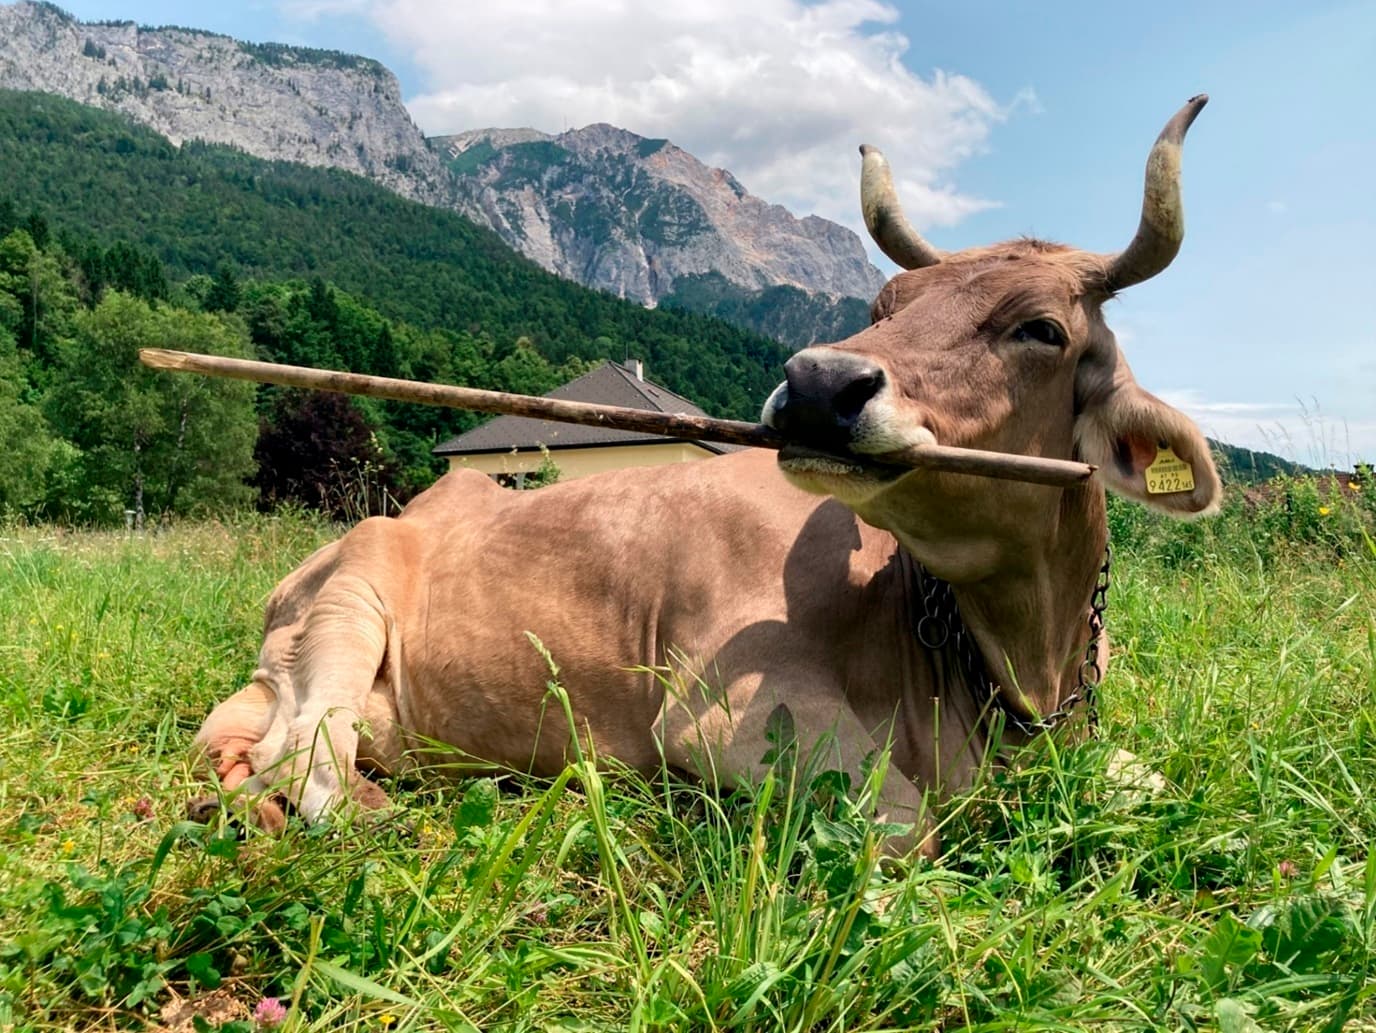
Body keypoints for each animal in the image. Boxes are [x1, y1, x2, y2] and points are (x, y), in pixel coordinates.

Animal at [191, 97, 1221, 856]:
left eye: (1041, 328)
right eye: (885, 304)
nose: (818, 383)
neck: (1018, 670)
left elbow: (1166, 783)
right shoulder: (726, 715)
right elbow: (908, 826)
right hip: (349, 603)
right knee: (305, 763)